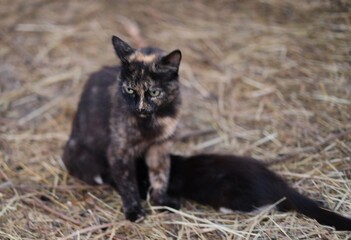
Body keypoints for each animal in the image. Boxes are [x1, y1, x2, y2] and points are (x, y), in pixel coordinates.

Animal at [63, 35, 183, 221]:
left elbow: (160, 174)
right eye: (129, 89)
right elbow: (127, 183)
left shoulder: (160, 146)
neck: (150, 123)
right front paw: (134, 210)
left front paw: (161, 200)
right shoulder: (119, 151)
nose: (140, 108)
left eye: (154, 92)